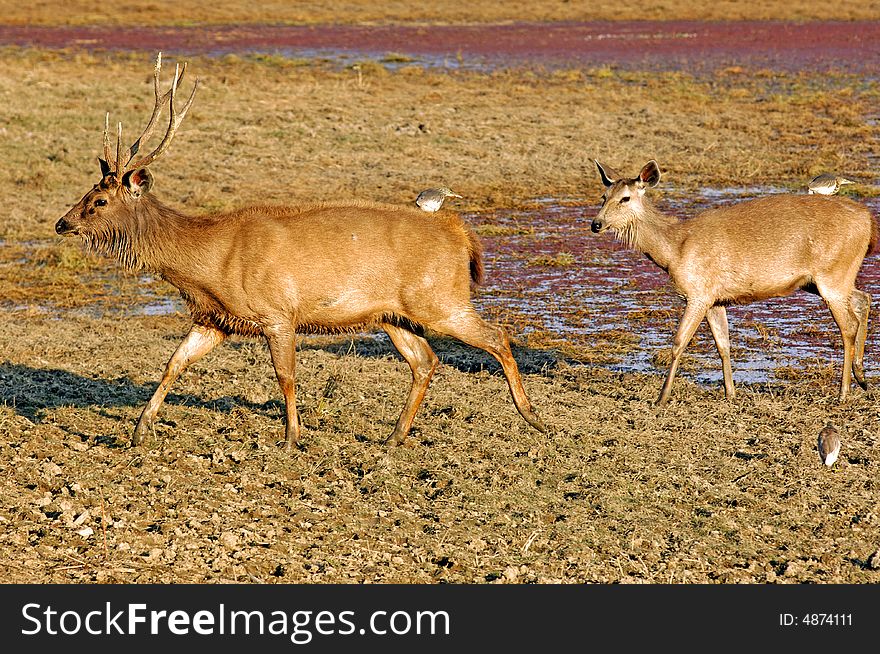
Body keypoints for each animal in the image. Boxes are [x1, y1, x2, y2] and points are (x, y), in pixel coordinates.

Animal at [55, 53, 544, 448]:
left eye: (99, 200)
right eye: (87, 192)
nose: (62, 223)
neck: (208, 265)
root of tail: (461, 233)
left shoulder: (277, 311)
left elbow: (285, 376)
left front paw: (291, 438)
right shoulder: (215, 318)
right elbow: (173, 363)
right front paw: (139, 431)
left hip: (440, 297)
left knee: (497, 336)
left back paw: (533, 417)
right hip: (394, 313)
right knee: (426, 361)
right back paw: (394, 437)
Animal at [592, 160, 872, 404]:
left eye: (625, 198)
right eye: (604, 197)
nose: (596, 223)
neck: (674, 250)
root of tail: (869, 220)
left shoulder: (698, 292)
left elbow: (678, 342)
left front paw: (661, 397)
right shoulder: (716, 299)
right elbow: (723, 345)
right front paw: (730, 393)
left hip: (833, 273)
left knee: (848, 325)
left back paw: (844, 392)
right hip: (821, 280)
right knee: (863, 299)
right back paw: (861, 377)